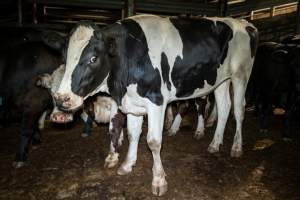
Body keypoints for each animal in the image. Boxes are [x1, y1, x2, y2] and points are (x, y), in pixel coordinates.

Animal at [52, 15, 258, 195]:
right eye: (65, 57)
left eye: (93, 58)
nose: (62, 98)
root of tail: (243, 23)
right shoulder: (133, 103)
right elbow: (132, 134)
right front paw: (127, 164)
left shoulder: (156, 101)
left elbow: (153, 142)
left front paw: (159, 181)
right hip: (221, 80)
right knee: (224, 108)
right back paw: (215, 144)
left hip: (241, 75)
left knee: (238, 110)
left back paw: (236, 147)